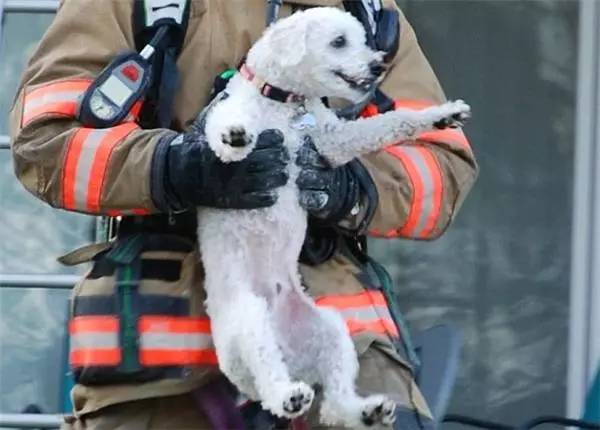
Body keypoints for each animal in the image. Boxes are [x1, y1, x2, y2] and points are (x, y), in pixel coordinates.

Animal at [197, 5, 468, 426]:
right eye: (339, 41)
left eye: (362, 38)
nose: (378, 65)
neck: (283, 103)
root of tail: (291, 356)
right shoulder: (223, 127)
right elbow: (222, 132)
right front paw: (237, 133)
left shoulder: (332, 141)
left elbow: (387, 124)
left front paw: (442, 116)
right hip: (250, 322)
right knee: (268, 375)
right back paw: (288, 396)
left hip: (333, 332)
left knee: (334, 403)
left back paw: (367, 410)